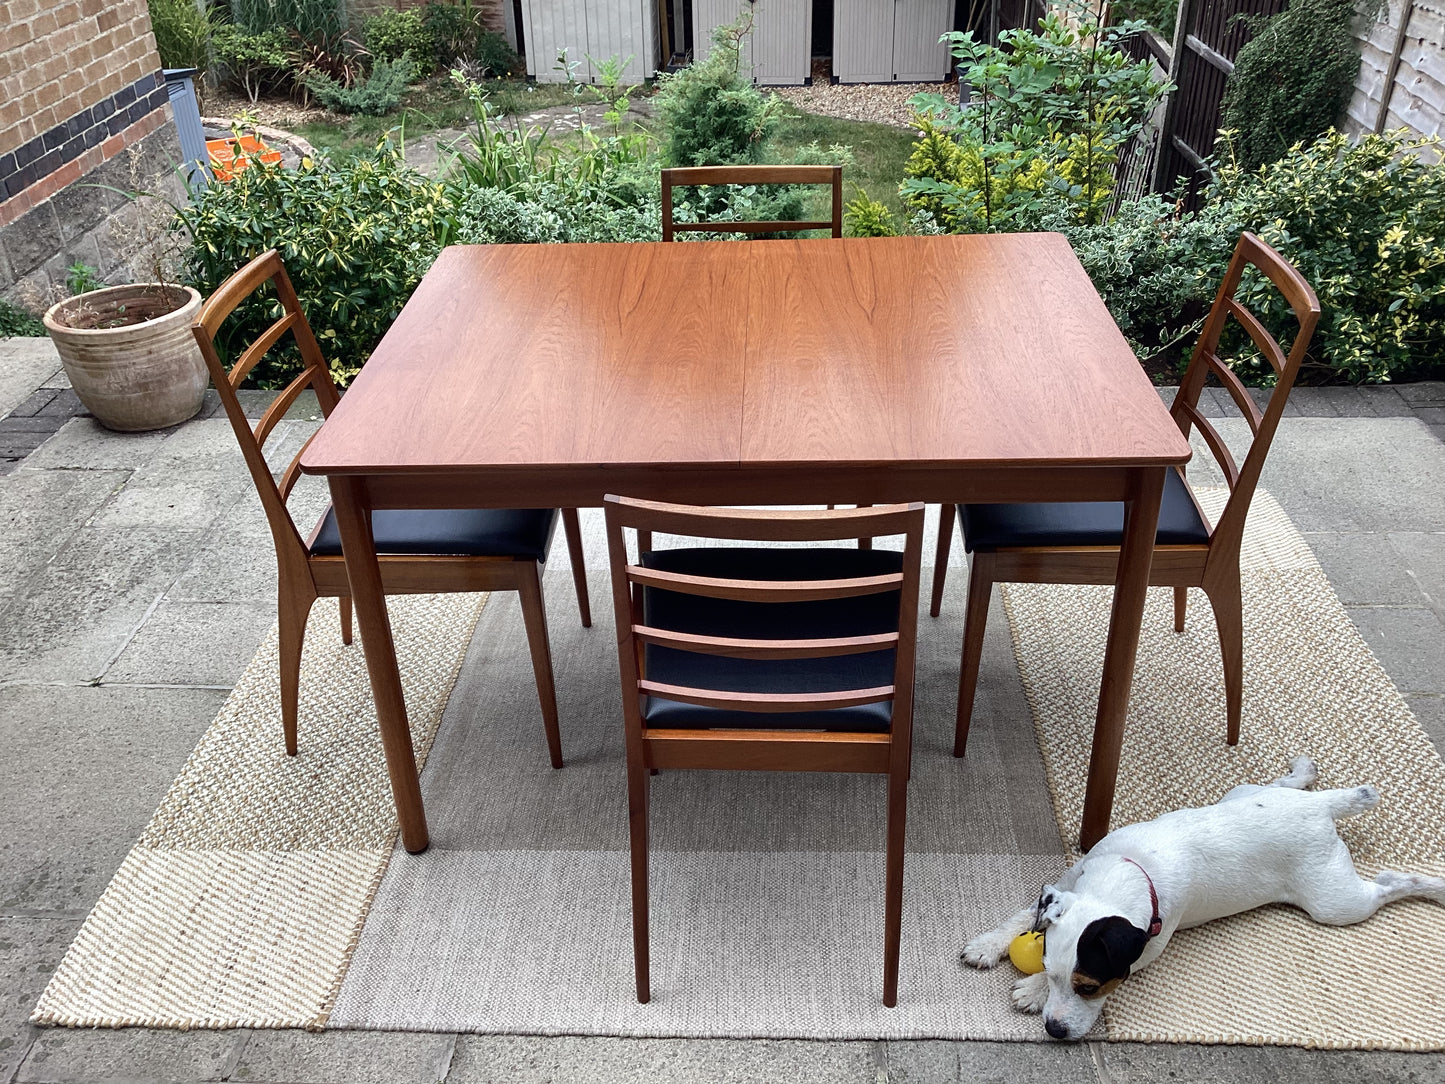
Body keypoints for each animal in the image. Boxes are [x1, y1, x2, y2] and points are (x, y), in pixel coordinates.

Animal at [959, 757, 1445, 1040]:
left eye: (1090, 988)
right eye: (1044, 963)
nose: (1055, 1030)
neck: (1128, 871)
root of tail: (1319, 808)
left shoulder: (1149, 945)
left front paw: (1031, 991)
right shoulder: (1065, 888)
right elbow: (1021, 917)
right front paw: (989, 946)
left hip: (1335, 901)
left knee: (1390, 883)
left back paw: (1431, 886)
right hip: (1246, 795)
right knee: (1274, 783)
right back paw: (1303, 773)